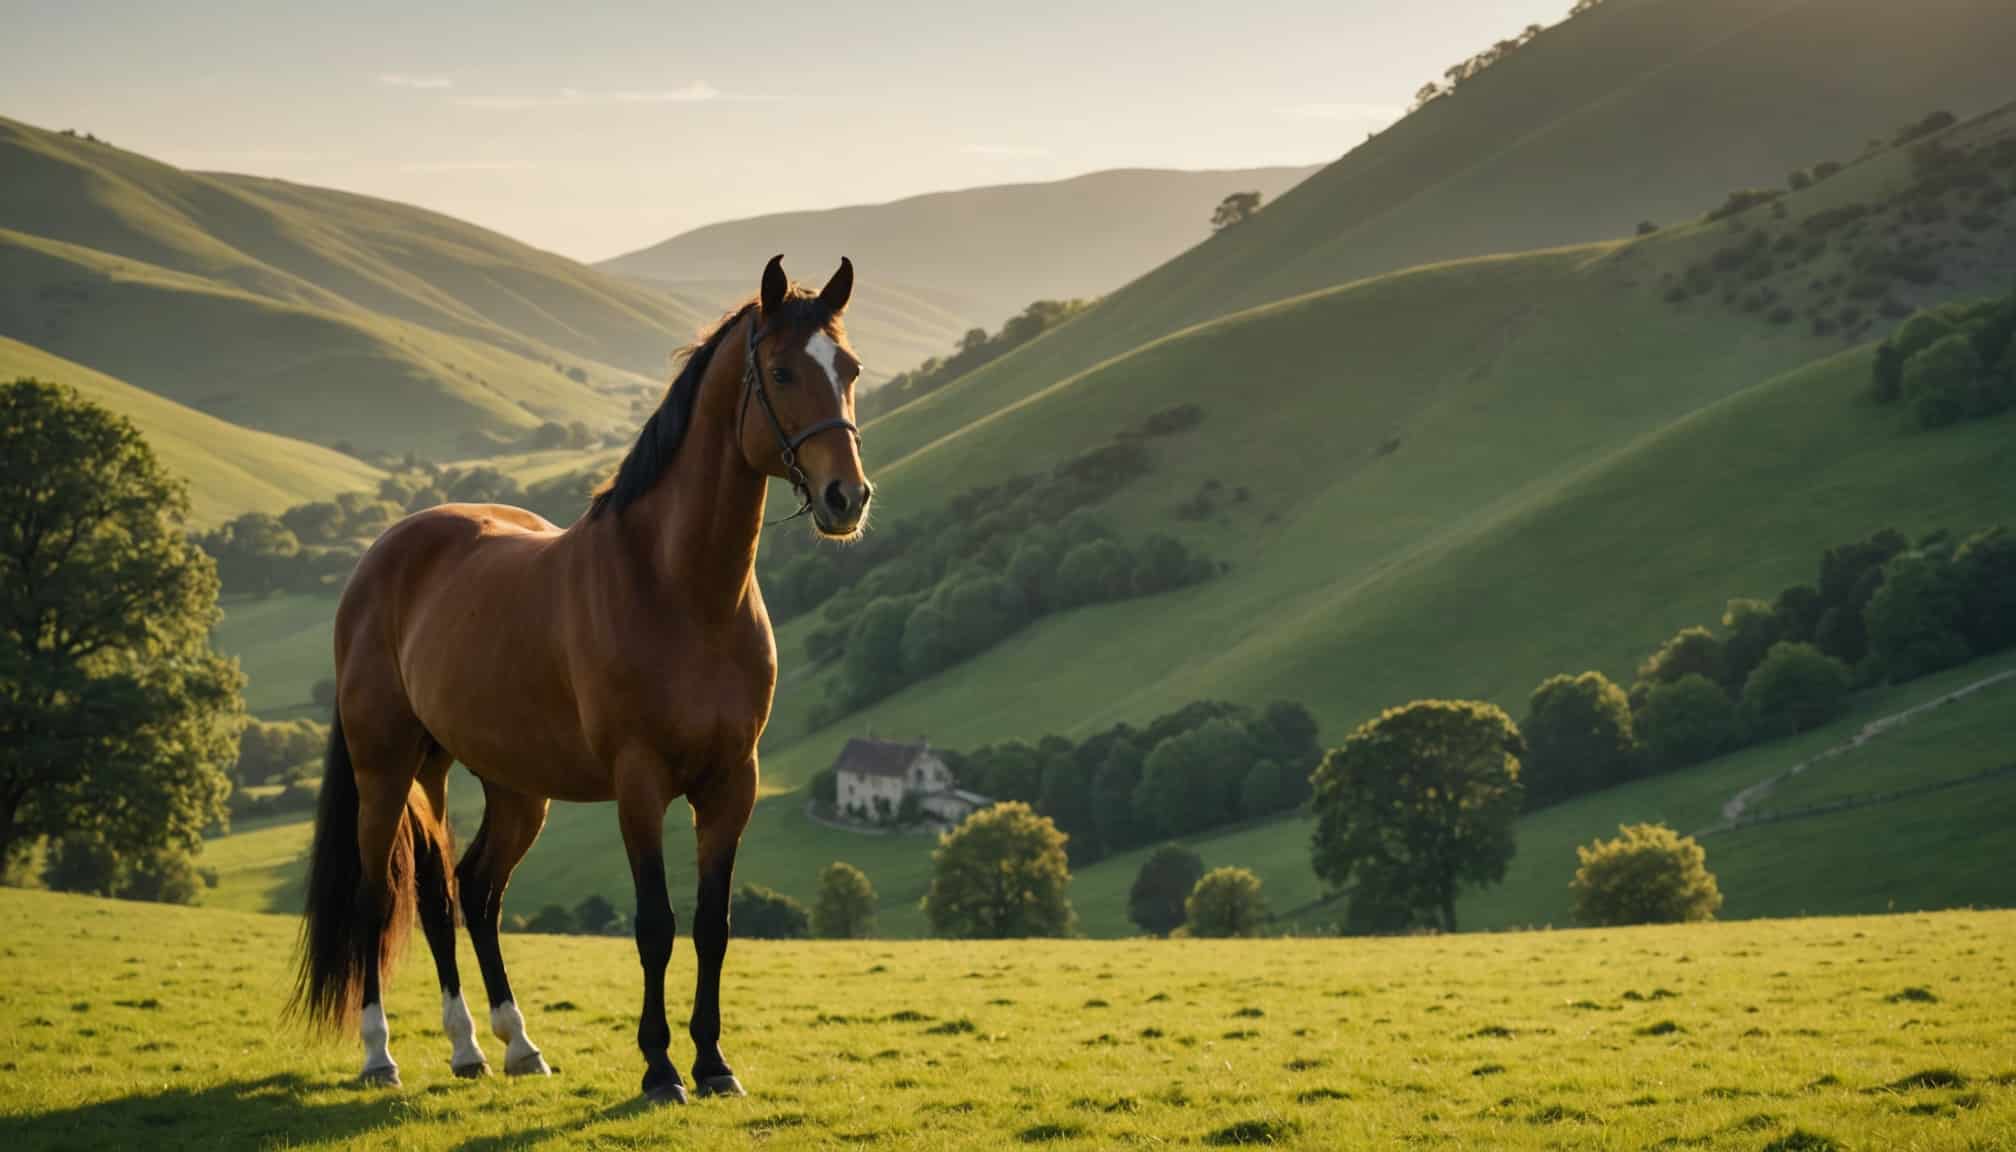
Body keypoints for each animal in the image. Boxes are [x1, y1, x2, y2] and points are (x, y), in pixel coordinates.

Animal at [292, 254, 874, 1105]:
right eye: (782, 370)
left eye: (851, 370)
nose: (847, 499)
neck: (679, 590)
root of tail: (384, 554)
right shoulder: (639, 782)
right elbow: (656, 925)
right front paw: (661, 1068)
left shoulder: (733, 783)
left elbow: (713, 927)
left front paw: (713, 1063)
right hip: (385, 769)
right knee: (380, 896)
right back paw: (381, 1056)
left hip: (496, 783)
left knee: (461, 893)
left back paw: (495, 1045)